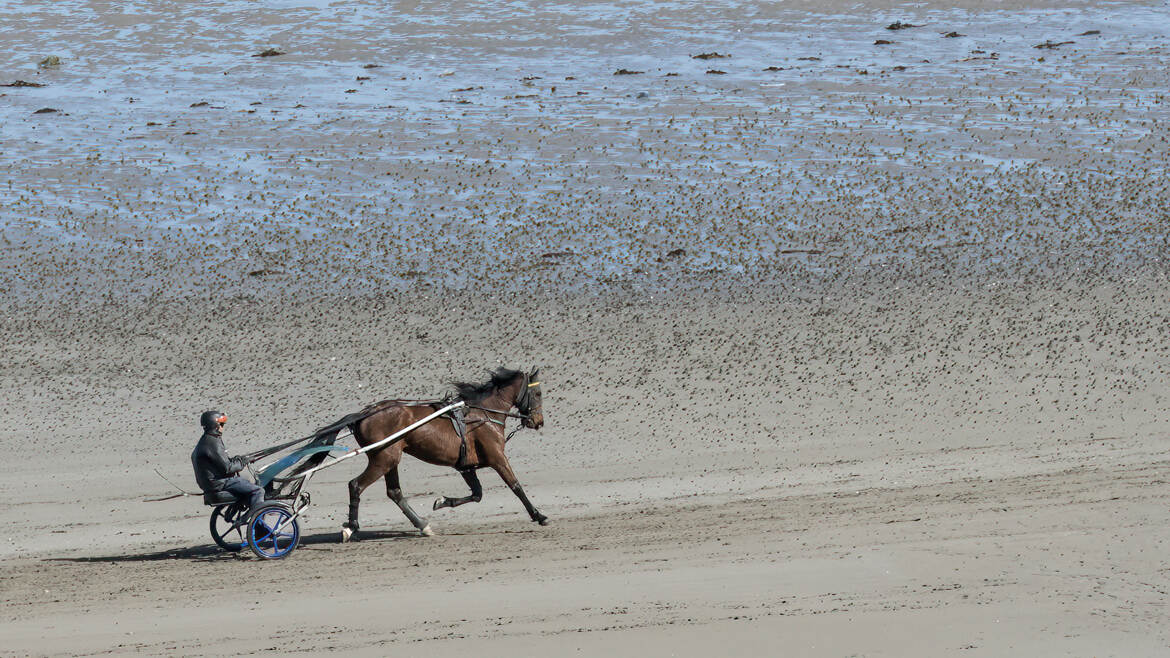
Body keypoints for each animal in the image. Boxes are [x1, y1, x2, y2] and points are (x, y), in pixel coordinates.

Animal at [339, 362, 547, 538]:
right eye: (538, 393)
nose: (538, 422)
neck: (484, 414)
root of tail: (364, 414)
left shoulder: (466, 465)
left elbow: (477, 494)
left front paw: (442, 502)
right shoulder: (497, 458)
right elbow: (515, 486)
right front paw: (538, 515)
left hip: (390, 459)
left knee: (394, 492)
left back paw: (423, 525)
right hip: (383, 459)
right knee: (356, 485)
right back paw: (351, 527)